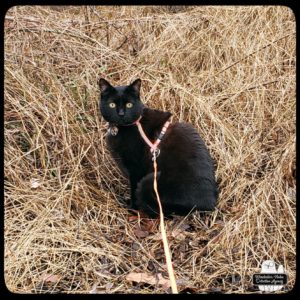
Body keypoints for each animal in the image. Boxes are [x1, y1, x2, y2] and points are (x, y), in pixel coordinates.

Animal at [99, 77, 218, 218]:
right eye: (112, 105)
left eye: (129, 105)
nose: (121, 114)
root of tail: (207, 205)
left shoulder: (136, 170)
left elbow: (134, 190)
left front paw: (132, 209)